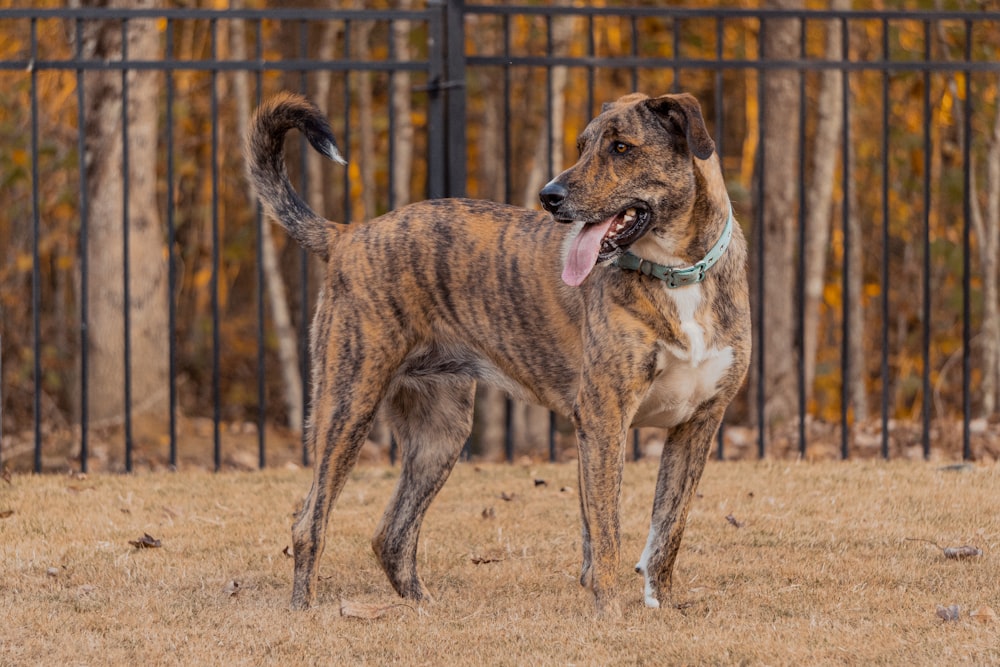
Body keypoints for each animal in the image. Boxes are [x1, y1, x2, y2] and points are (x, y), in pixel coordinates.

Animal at [246, 90, 752, 616]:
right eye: (582, 146)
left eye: (621, 148)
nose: (550, 196)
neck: (676, 274)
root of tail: (349, 234)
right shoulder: (604, 417)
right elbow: (607, 531)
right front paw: (610, 610)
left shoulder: (697, 424)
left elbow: (667, 529)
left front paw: (662, 604)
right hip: (348, 404)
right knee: (309, 522)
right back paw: (304, 608)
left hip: (440, 434)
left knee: (392, 535)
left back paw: (424, 606)